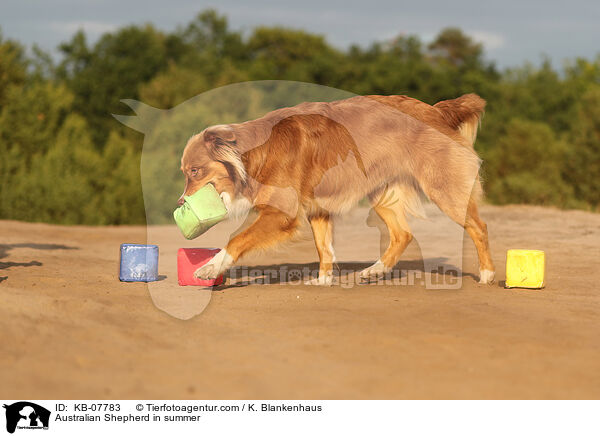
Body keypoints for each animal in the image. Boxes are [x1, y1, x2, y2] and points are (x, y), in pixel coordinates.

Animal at [176, 94, 494, 286]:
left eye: (194, 171)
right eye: (185, 172)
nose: (180, 203)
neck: (255, 154)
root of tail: (437, 110)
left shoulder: (282, 214)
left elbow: (237, 240)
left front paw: (209, 268)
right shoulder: (318, 209)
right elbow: (324, 247)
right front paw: (323, 281)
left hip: (443, 189)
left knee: (478, 226)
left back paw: (487, 274)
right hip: (382, 193)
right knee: (403, 234)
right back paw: (375, 270)